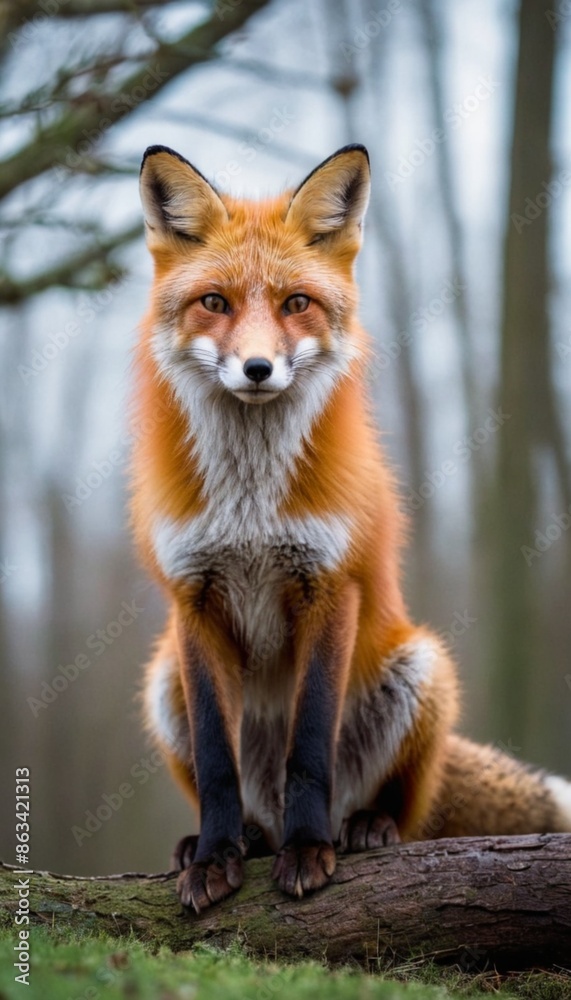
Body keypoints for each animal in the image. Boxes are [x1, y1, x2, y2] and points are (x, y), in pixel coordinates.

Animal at [132, 143, 571, 913]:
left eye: (295, 303)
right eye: (214, 303)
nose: (257, 368)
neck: (249, 502)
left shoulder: (330, 585)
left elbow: (309, 745)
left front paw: (310, 852)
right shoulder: (194, 598)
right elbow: (217, 760)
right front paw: (214, 857)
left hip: (422, 666)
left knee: (395, 804)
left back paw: (363, 826)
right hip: (163, 683)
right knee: (247, 793)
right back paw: (245, 838)